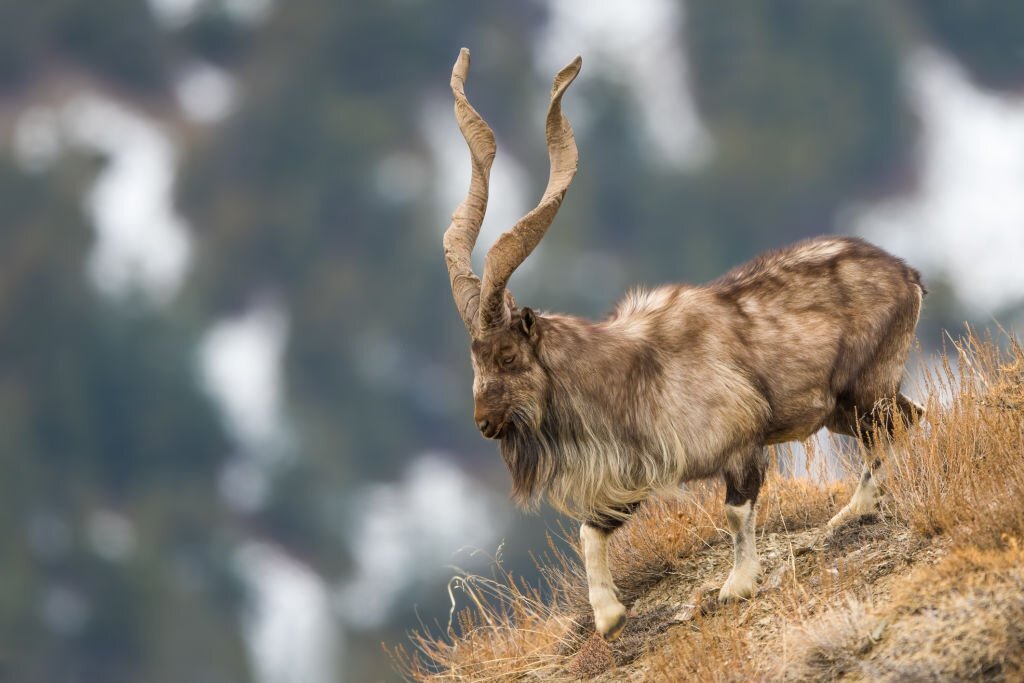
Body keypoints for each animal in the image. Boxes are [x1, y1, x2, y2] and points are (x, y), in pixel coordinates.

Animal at [444, 49, 925, 643]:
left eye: (508, 356)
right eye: (474, 357)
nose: (484, 423)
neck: (626, 372)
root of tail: (908, 276)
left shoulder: (741, 444)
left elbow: (736, 512)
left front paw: (736, 585)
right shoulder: (633, 475)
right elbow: (591, 531)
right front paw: (609, 616)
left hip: (867, 388)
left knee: (892, 428)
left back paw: (852, 512)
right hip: (841, 409)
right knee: (909, 418)